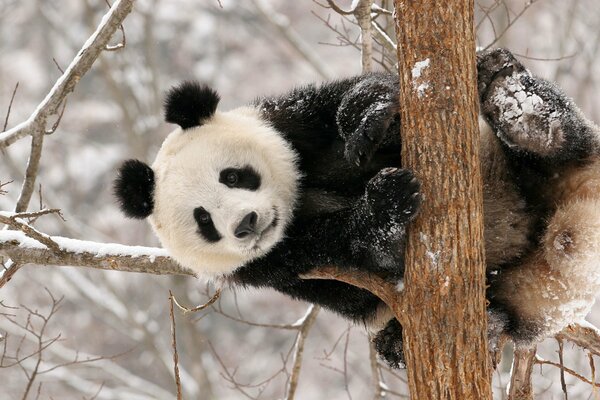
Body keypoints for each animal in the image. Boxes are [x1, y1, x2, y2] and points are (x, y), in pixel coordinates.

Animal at [115, 49, 600, 368]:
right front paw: (385, 202)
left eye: (233, 176)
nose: (247, 224)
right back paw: (467, 328)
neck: (297, 202)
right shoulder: (273, 265)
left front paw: (368, 120)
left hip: (535, 165)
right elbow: (355, 266)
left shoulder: (290, 122)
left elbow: (356, 100)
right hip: (519, 290)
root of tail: (566, 235)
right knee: (506, 314)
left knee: (564, 141)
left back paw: (516, 102)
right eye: (204, 221)